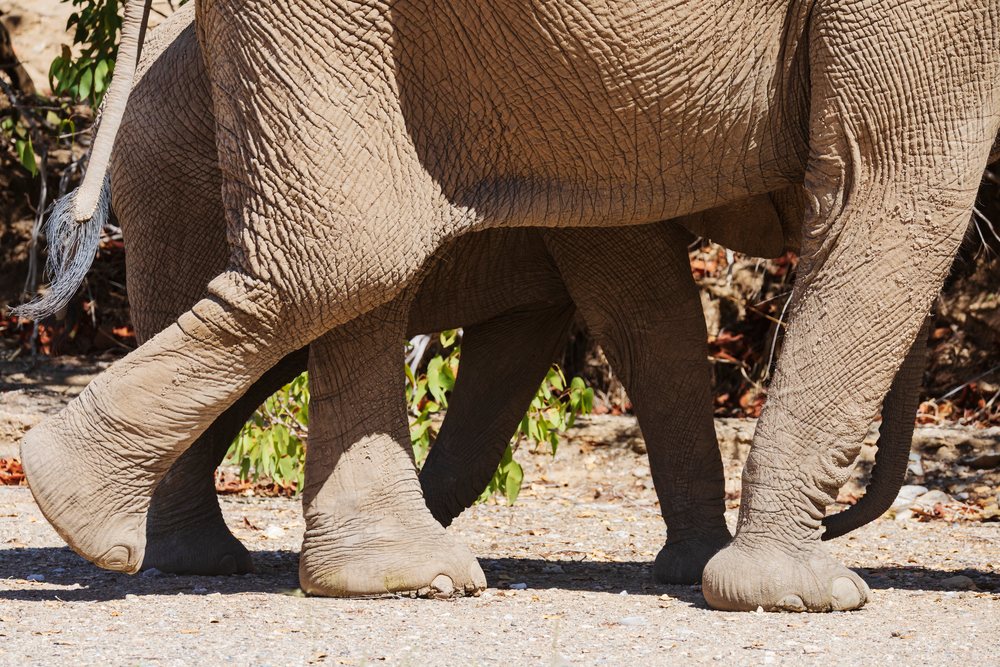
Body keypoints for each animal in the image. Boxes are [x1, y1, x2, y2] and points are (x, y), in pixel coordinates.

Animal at [15, 0, 999, 612]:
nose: (844, 520)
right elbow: (889, 194)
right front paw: (799, 595)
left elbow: (524, 352)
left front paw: (693, 574)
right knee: (348, 254)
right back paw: (97, 512)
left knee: (349, 265)